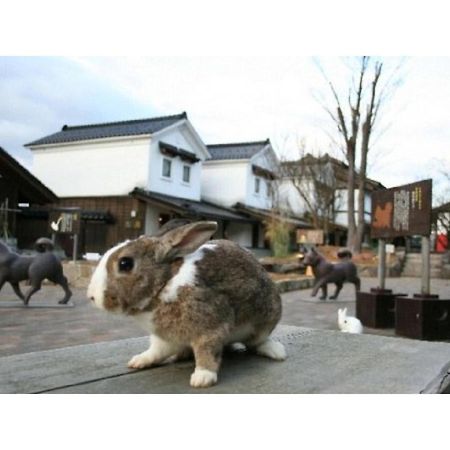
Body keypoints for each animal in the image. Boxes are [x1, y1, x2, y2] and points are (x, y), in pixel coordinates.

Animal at [87, 220, 284, 388]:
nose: (91, 296)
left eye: (125, 263)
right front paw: (139, 360)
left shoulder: (210, 328)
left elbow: (207, 352)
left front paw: (202, 378)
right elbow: (156, 351)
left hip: (266, 320)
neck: (165, 284)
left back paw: (276, 352)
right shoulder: (163, 338)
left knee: (257, 342)